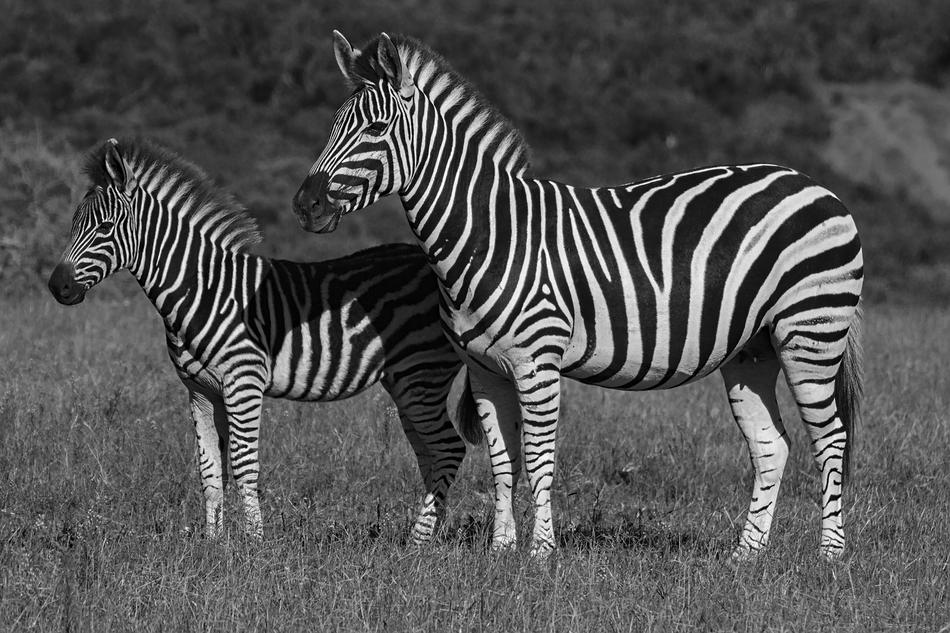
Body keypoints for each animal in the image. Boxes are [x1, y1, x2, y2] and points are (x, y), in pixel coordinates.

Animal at [48, 137, 474, 543]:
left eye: (104, 228)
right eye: (72, 225)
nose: (58, 287)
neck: (202, 289)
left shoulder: (244, 382)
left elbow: (243, 465)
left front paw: (254, 545)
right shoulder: (200, 390)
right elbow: (209, 471)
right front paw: (212, 545)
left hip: (423, 372)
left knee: (448, 449)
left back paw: (419, 543)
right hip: (405, 381)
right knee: (430, 454)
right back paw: (432, 536)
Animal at [292, 32, 864, 561]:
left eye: (376, 129)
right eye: (332, 126)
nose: (305, 205)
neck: (491, 233)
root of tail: (814, 185)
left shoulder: (536, 361)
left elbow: (539, 459)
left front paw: (542, 555)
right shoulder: (485, 369)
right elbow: (503, 462)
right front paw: (500, 552)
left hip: (809, 332)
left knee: (831, 439)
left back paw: (829, 556)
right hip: (753, 349)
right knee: (771, 446)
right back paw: (746, 557)